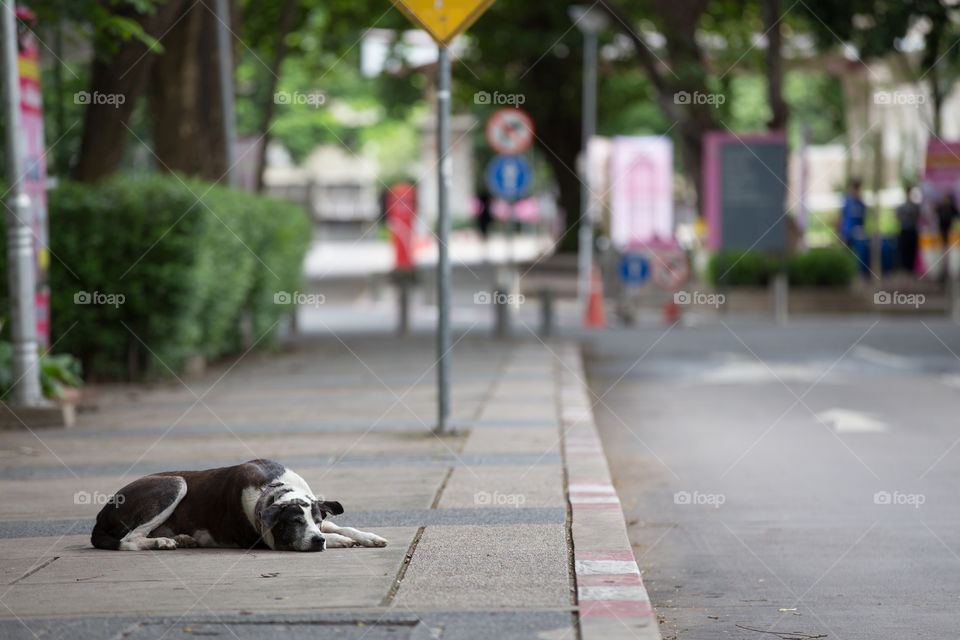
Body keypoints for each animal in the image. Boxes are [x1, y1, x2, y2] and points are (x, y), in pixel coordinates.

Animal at [90, 460, 386, 552]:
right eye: (294, 522)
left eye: (316, 519)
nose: (317, 540)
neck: (274, 489)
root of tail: (100, 515)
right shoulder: (263, 538)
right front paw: (337, 541)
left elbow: (340, 525)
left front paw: (367, 536)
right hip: (174, 484)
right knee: (130, 538)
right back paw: (160, 542)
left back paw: (180, 538)